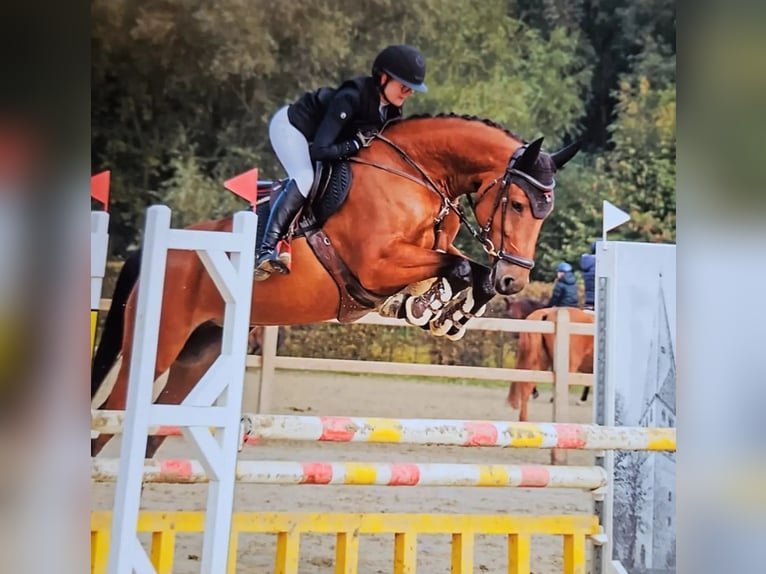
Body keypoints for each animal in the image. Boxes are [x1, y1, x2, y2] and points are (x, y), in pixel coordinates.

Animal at [91, 113, 581, 457]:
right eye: (516, 204)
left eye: (545, 213)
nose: (515, 280)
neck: (415, 174)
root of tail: (155, 251)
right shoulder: (376, 265)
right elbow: (459, 268)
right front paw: (435, 308)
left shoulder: (427, 250)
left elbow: (462, 268)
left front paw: (448, 312)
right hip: (160, 342)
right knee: (111, 414)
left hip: (201, 351)